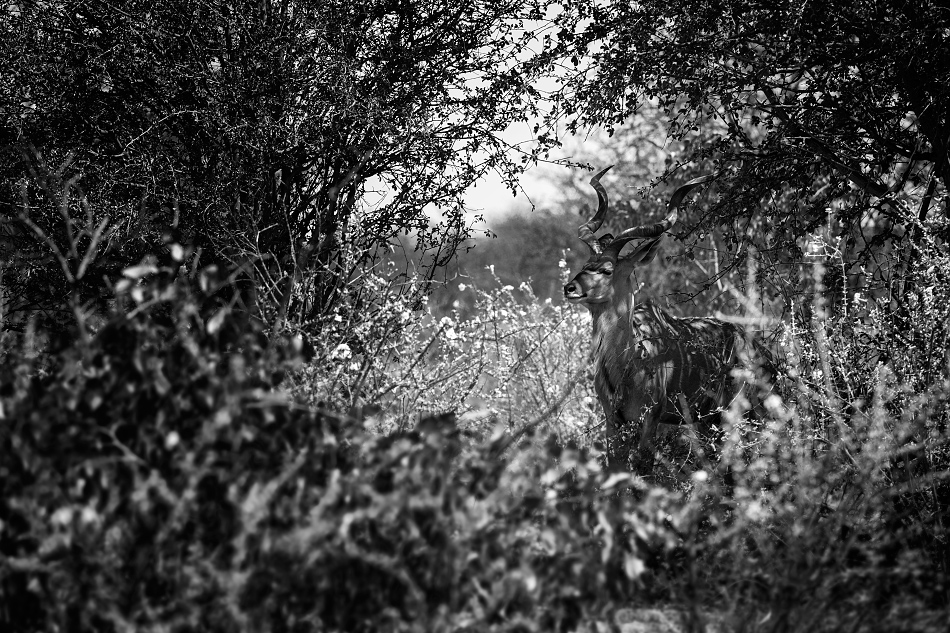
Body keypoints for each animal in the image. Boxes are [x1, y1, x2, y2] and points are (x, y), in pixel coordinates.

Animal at [564, 168, 768, 474]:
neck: (628, 361)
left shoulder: (650, 418)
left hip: (738, 412)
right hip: (709, 419)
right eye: (585, 265)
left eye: (607, 269)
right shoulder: (613, 421)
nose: (570, 288)